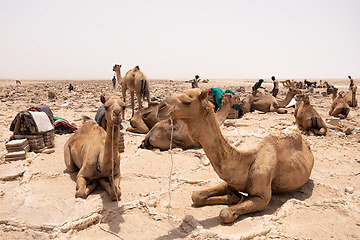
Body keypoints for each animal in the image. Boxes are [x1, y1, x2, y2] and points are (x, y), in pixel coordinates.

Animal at [167, 89, 314, 224]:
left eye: (187, 102)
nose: (163, 105)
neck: (247, 162)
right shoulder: (231, 181)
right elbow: (196, 196)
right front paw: (234, 197)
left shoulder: (262, 197)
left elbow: (225, 213)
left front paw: (235, 199)